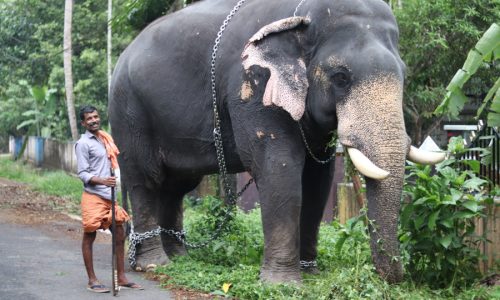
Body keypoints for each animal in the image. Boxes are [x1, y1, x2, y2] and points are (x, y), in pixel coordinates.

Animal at [108, 0, 442, 284]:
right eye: (341, 78)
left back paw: (180, 257)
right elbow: (279, 169)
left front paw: (310, 274)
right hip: (128, 111)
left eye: (404, 75)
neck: (301, 19)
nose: (395, 276)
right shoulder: (253, 84)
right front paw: (283, 284)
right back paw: (154, 263)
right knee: (144, 179)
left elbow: (318, 180)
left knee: (177, 186)